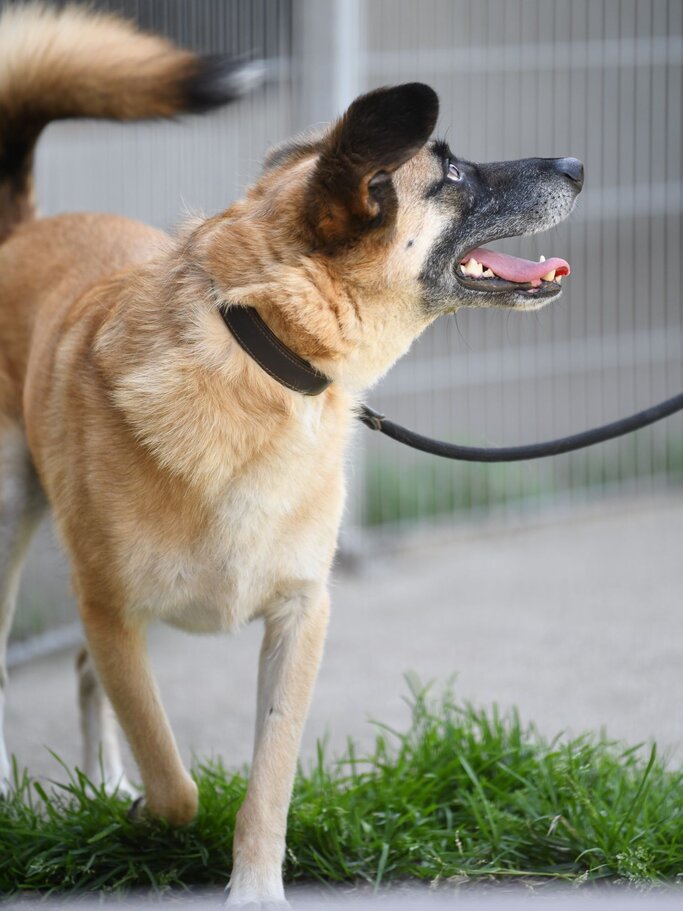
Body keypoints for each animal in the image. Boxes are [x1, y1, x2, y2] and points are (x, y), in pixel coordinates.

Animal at [0, 5, 584, 904]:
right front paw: (144, 820)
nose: (577, 165)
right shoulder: (111, 608)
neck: (258, 354)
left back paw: (101, 781)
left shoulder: (299, 615)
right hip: (8, 516)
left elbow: (267, 778)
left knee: (80, 669)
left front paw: (251, 885)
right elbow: (174, 780)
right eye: (451, 172)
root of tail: (29, 225)